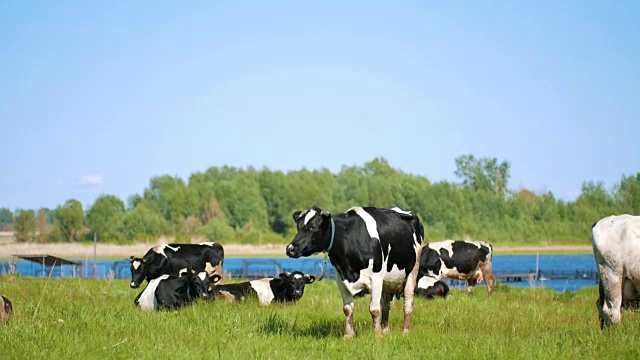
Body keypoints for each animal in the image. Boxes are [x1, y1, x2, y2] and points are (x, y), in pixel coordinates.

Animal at [286, 205, 424, 338]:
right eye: (298, 227)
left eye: (313, 227)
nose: (290, 249)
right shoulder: (341, 279)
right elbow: (348, 309)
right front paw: (348, 335)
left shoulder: (376, 278)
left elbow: (374, 309)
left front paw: (377, 335)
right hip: (387, 282)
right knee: (385, 305)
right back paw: (385, 330)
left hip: (412, 272)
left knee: (408, 303)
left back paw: (405, 331)